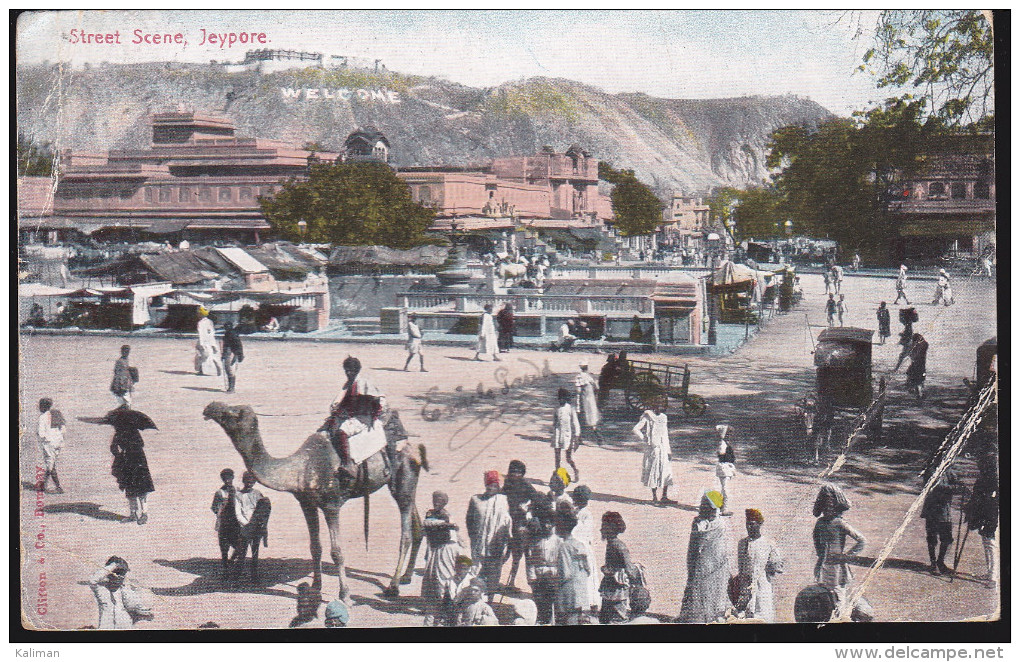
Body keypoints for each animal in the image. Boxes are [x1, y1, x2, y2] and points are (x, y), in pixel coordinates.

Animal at [205, 399, 428, 599]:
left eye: (234, 413)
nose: (210, 407)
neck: (300, 469)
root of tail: (412, 443)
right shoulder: (307, 503)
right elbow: (315, 547)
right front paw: (316, 587)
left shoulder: (331, 505)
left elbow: (337, 551)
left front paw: (345, 595)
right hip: (403, 483)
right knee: (416, 521)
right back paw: (407, 576)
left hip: (404, 475)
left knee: (406, 533)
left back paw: (393, 586)